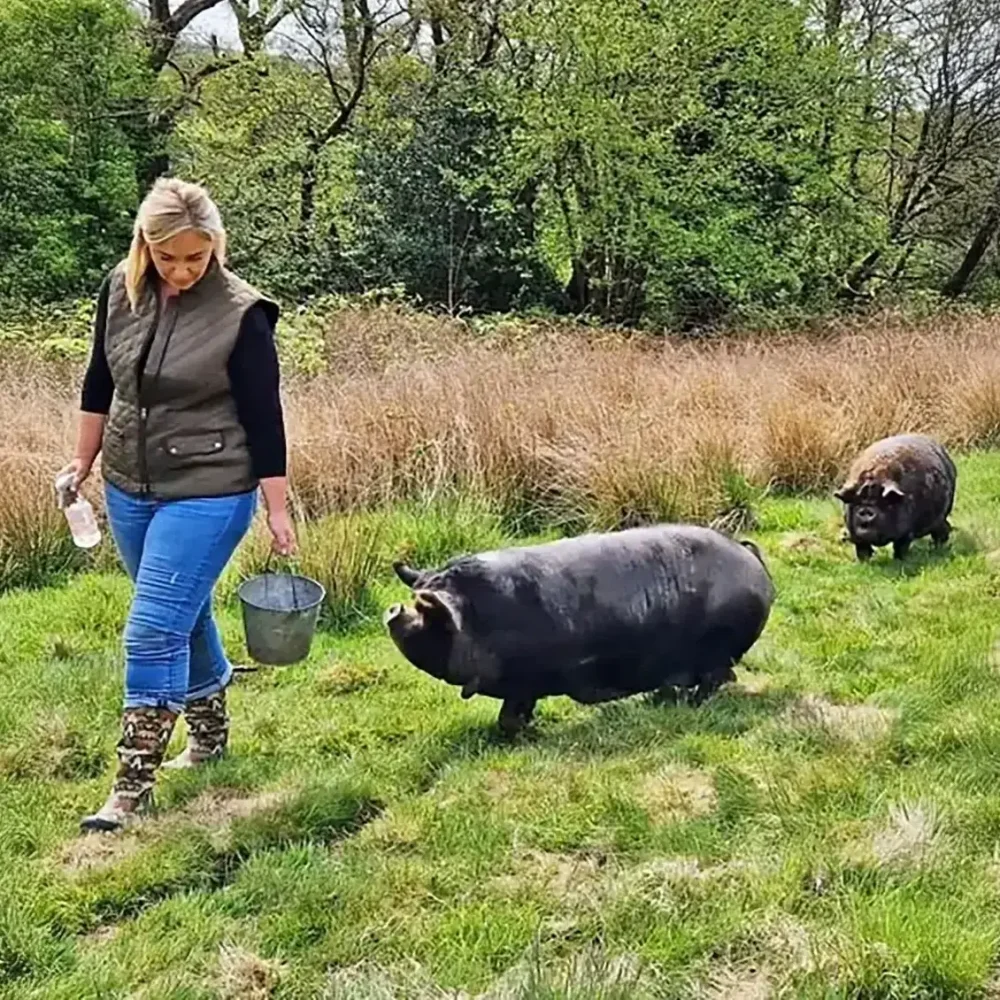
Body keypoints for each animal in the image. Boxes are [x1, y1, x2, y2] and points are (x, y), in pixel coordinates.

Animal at [382, 524, 775, 735]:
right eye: (415, 597)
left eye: (428, 610)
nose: (394, 609)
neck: (482, 619)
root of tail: (749, 556)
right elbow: (509, 715)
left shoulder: (528, 679)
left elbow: (513, 715)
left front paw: (531, 732)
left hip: (720, 645)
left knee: (719, 677)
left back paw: (688, 703)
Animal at [834, 433, 957, 562]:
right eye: (857, 501)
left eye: (883, 502)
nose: (866, 510)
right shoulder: (855, 537)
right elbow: (862, 549)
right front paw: (863, 562)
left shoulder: (907, 532)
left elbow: (900, 546)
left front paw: (900, 560)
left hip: (944, 512)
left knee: (941, 529)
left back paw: (939, 546)